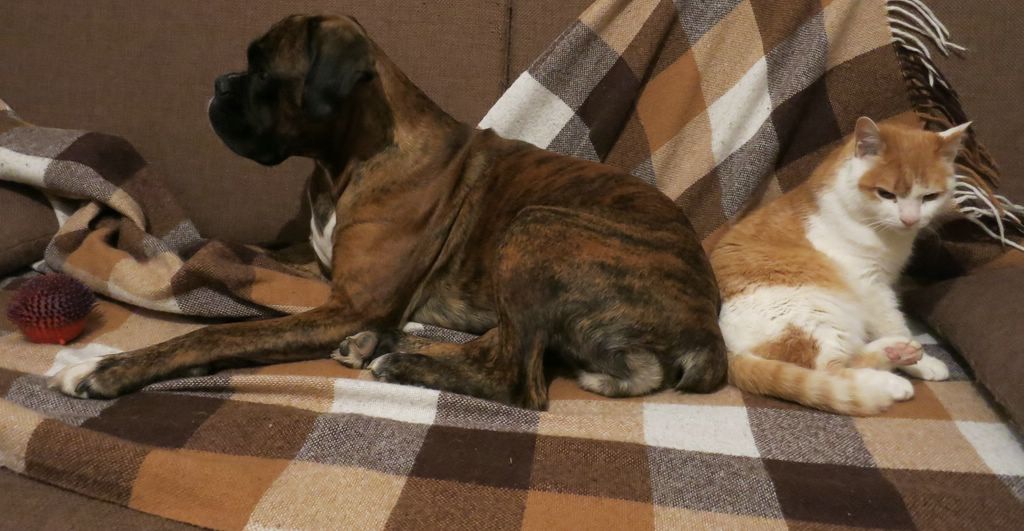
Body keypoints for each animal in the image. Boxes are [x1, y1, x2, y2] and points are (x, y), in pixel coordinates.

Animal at [50, 14, 727, 409]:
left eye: (263, 71)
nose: (218, 84)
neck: (348, 161)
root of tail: (707, 326)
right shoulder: (318, 267)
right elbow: (243, 251)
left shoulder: (345, 301)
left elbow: (219, 332)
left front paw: (110, 367)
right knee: (501, 346)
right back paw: (380, 344)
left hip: (536, 226)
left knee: (517, 377)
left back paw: (398, 359)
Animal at [710, 117, 969, 415]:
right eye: (886, 194)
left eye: (929, 197)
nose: (910, 220)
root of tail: (729, 353)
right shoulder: (870, 285)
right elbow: (892, 321)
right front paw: (923, 362)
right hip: (816, 314)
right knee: (828, 372)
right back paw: (890, 383)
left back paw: (896, 352)